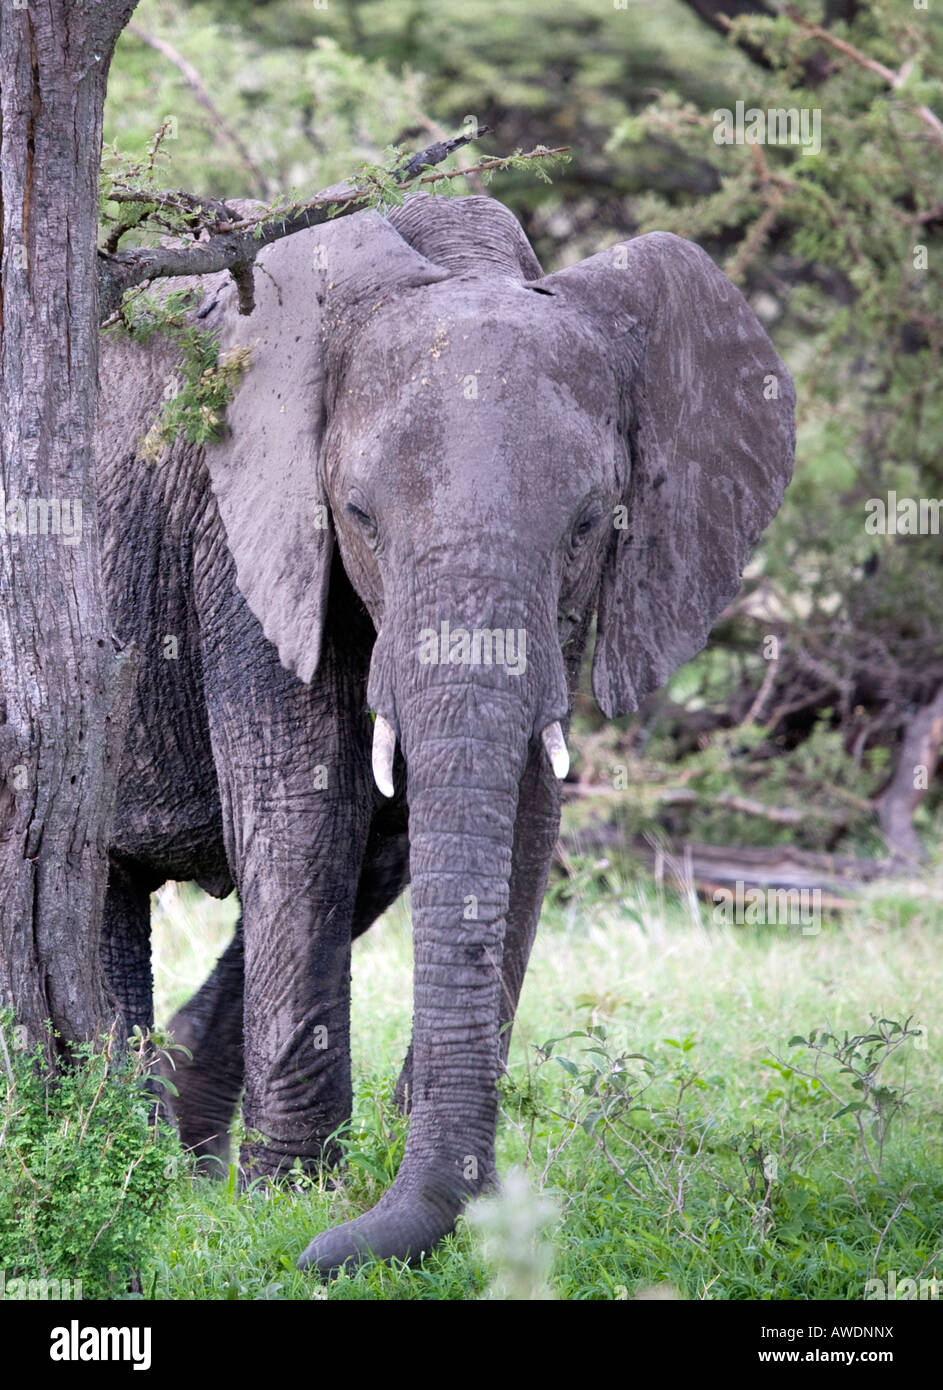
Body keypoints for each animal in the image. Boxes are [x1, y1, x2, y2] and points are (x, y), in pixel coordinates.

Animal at [95, 190, 795, 1273]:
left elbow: (522, 822)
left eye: (592, 522)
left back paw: (166, 1153)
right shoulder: (245, 538)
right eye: (357, 515)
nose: (324, 1255)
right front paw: (289, 1202)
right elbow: (305, 816)